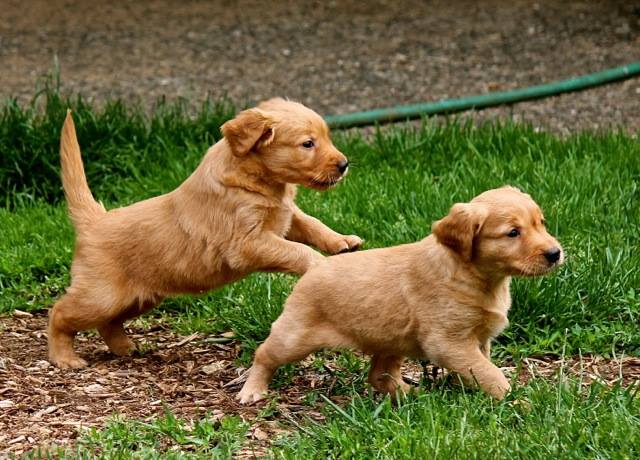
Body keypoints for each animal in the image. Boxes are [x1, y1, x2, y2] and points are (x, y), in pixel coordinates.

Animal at [47, 99, 362, 368]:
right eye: (308, 144)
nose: (345, 165)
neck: (256, 178)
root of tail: (95, 219)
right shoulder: (247, 243)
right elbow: (297, 250)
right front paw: (320, 265)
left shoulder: (287, 216)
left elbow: (311, 223)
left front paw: (342, 242)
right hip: (101, 295)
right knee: (60, 313)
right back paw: (64, 357)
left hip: (139, 298)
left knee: (108, 322)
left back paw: (125, 348)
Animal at [238, 187, 564, 402]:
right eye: (513, 233)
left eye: (541, 223)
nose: (555, 253)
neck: (477, 276)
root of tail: (316, 266)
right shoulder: (448, 342)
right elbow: (489, 372)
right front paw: (514, 399)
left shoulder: (479, 340)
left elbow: (480, 368)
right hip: (295, 335)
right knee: (264, 354)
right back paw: (252, 390)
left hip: (391, 339)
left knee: (379, 376)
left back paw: (413, 394)